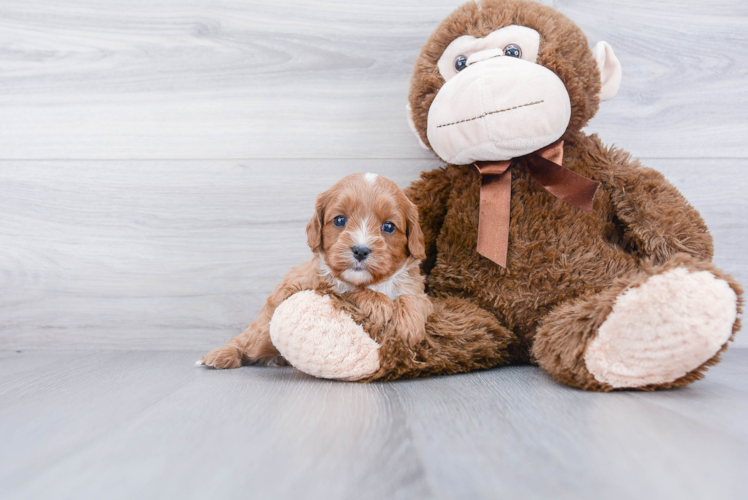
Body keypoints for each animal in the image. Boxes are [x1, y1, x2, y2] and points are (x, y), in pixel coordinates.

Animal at [197, 174, 432, 370]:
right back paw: (221, 354)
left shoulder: (416, 289)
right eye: (340, 220)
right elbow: (350, 292)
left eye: (389, 227)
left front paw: (409, 325)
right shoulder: (315, 286)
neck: (373, 282)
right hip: (264, 329)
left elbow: (413, 299)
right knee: (247, 339)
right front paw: (378, 303)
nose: (360, 250)